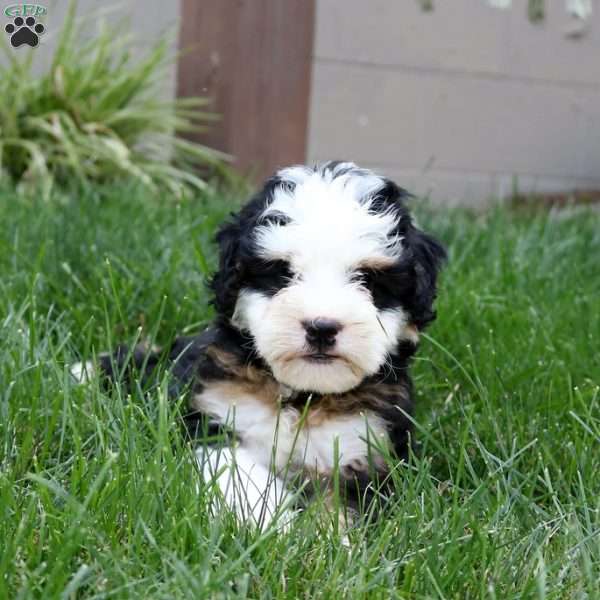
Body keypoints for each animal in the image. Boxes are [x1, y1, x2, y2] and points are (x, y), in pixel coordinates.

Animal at [71, 163, 446, 528]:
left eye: (368, 280)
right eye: (283, 274)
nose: (321, 327)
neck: (303, 396)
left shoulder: (364, 442)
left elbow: (342, 507)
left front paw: (323, 540)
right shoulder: (217, 413)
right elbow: (238, 473)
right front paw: (273, 525)